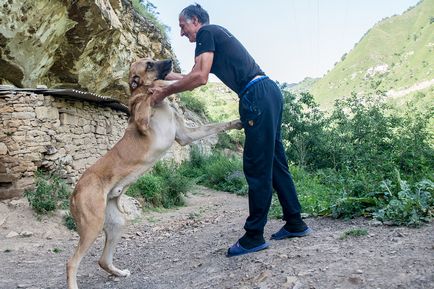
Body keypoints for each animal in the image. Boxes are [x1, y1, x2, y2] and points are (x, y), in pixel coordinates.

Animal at [67, 57, 244, 286]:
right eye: (149, 65)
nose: (170, 61)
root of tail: (75, 190)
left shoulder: (186, 136)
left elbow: (215, 125)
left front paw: (237, 122)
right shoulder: (143, 121)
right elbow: (147, 95)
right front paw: (152, 90)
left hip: (116, 223)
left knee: (102, 260)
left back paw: (119, 273)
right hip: (92, 225)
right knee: (71, 262)